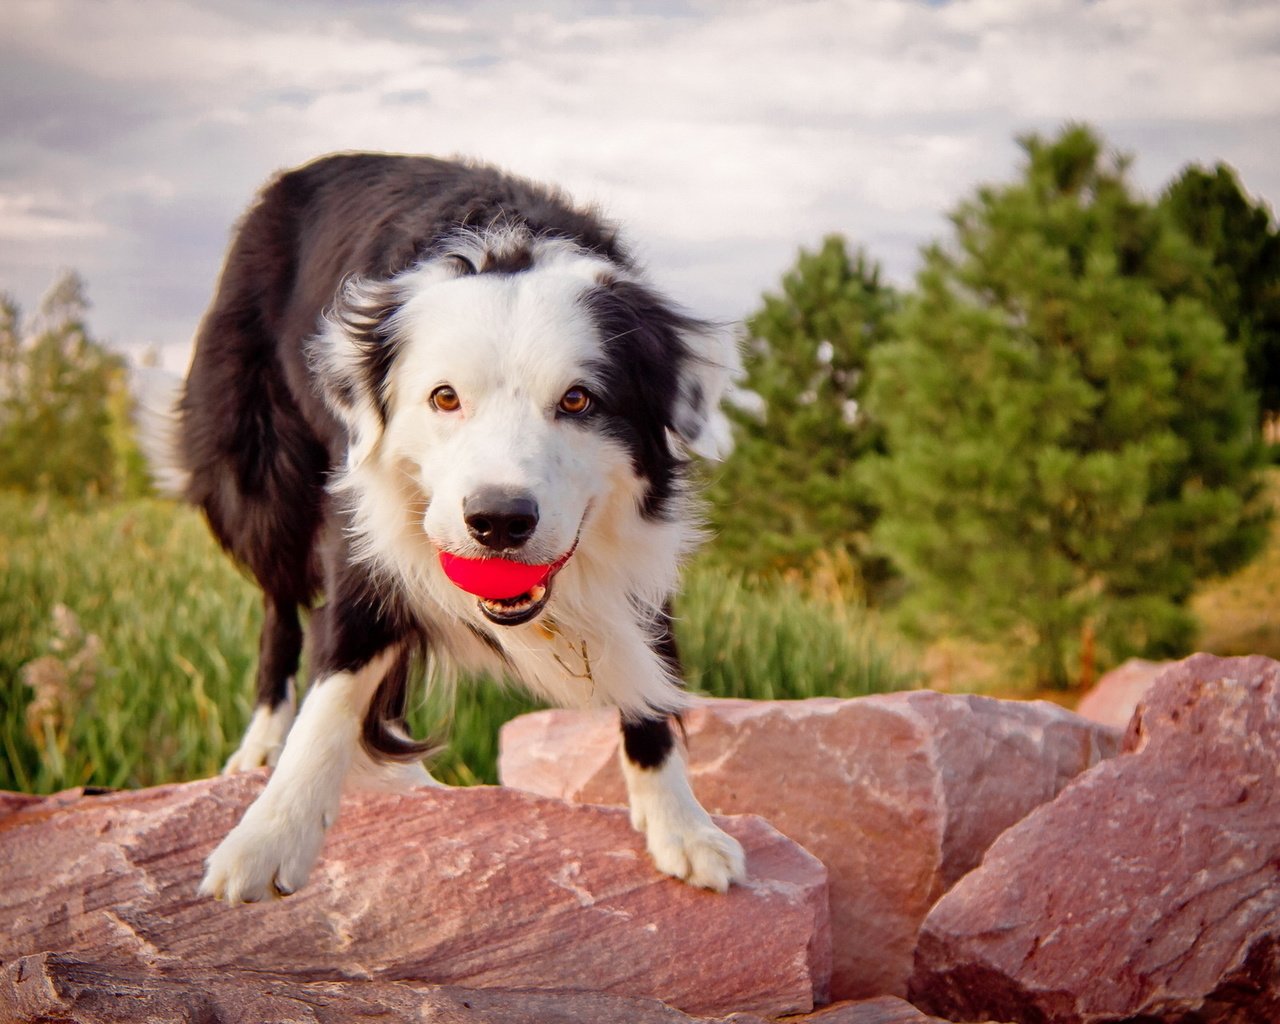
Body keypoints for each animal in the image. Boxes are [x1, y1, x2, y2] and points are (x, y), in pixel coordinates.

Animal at [161, 154, 747, 906]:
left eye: (578, 400)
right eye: (445, 398)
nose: (499, 521)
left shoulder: (636, 546)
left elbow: (652, 670)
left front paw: (681, 823)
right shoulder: (361, 528)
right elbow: (336, 678)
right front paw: (269, 836)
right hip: (260, 478)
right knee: (280, 607)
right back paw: (263, 740)